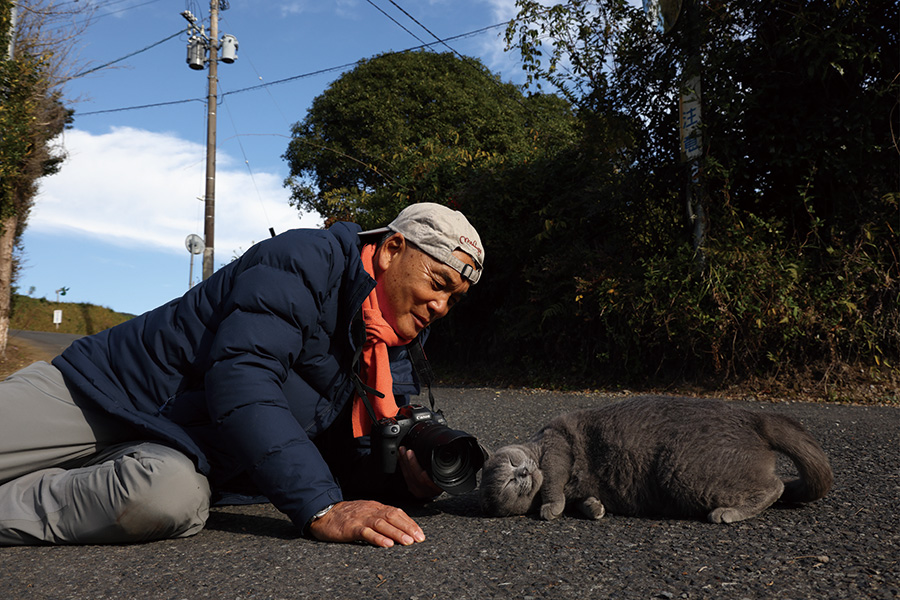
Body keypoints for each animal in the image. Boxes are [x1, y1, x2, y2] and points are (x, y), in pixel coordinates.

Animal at [482, 398, 832, 520]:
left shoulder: (557, 444)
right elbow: (582, 500)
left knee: (774, 486)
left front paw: (550, 508)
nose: (524, 473)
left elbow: (553, 478)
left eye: (512, 465)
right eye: (510, 483)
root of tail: (753, 417)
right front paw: (594, 509)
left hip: (681, 470)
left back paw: (728, 513)